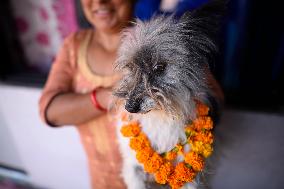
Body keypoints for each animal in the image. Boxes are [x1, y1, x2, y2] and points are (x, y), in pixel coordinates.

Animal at [113, 0, 224, 188]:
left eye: (159, 67)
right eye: (131, 67)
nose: (129, 107)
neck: (162, 116)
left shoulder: (191, 178)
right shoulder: (132, 169)